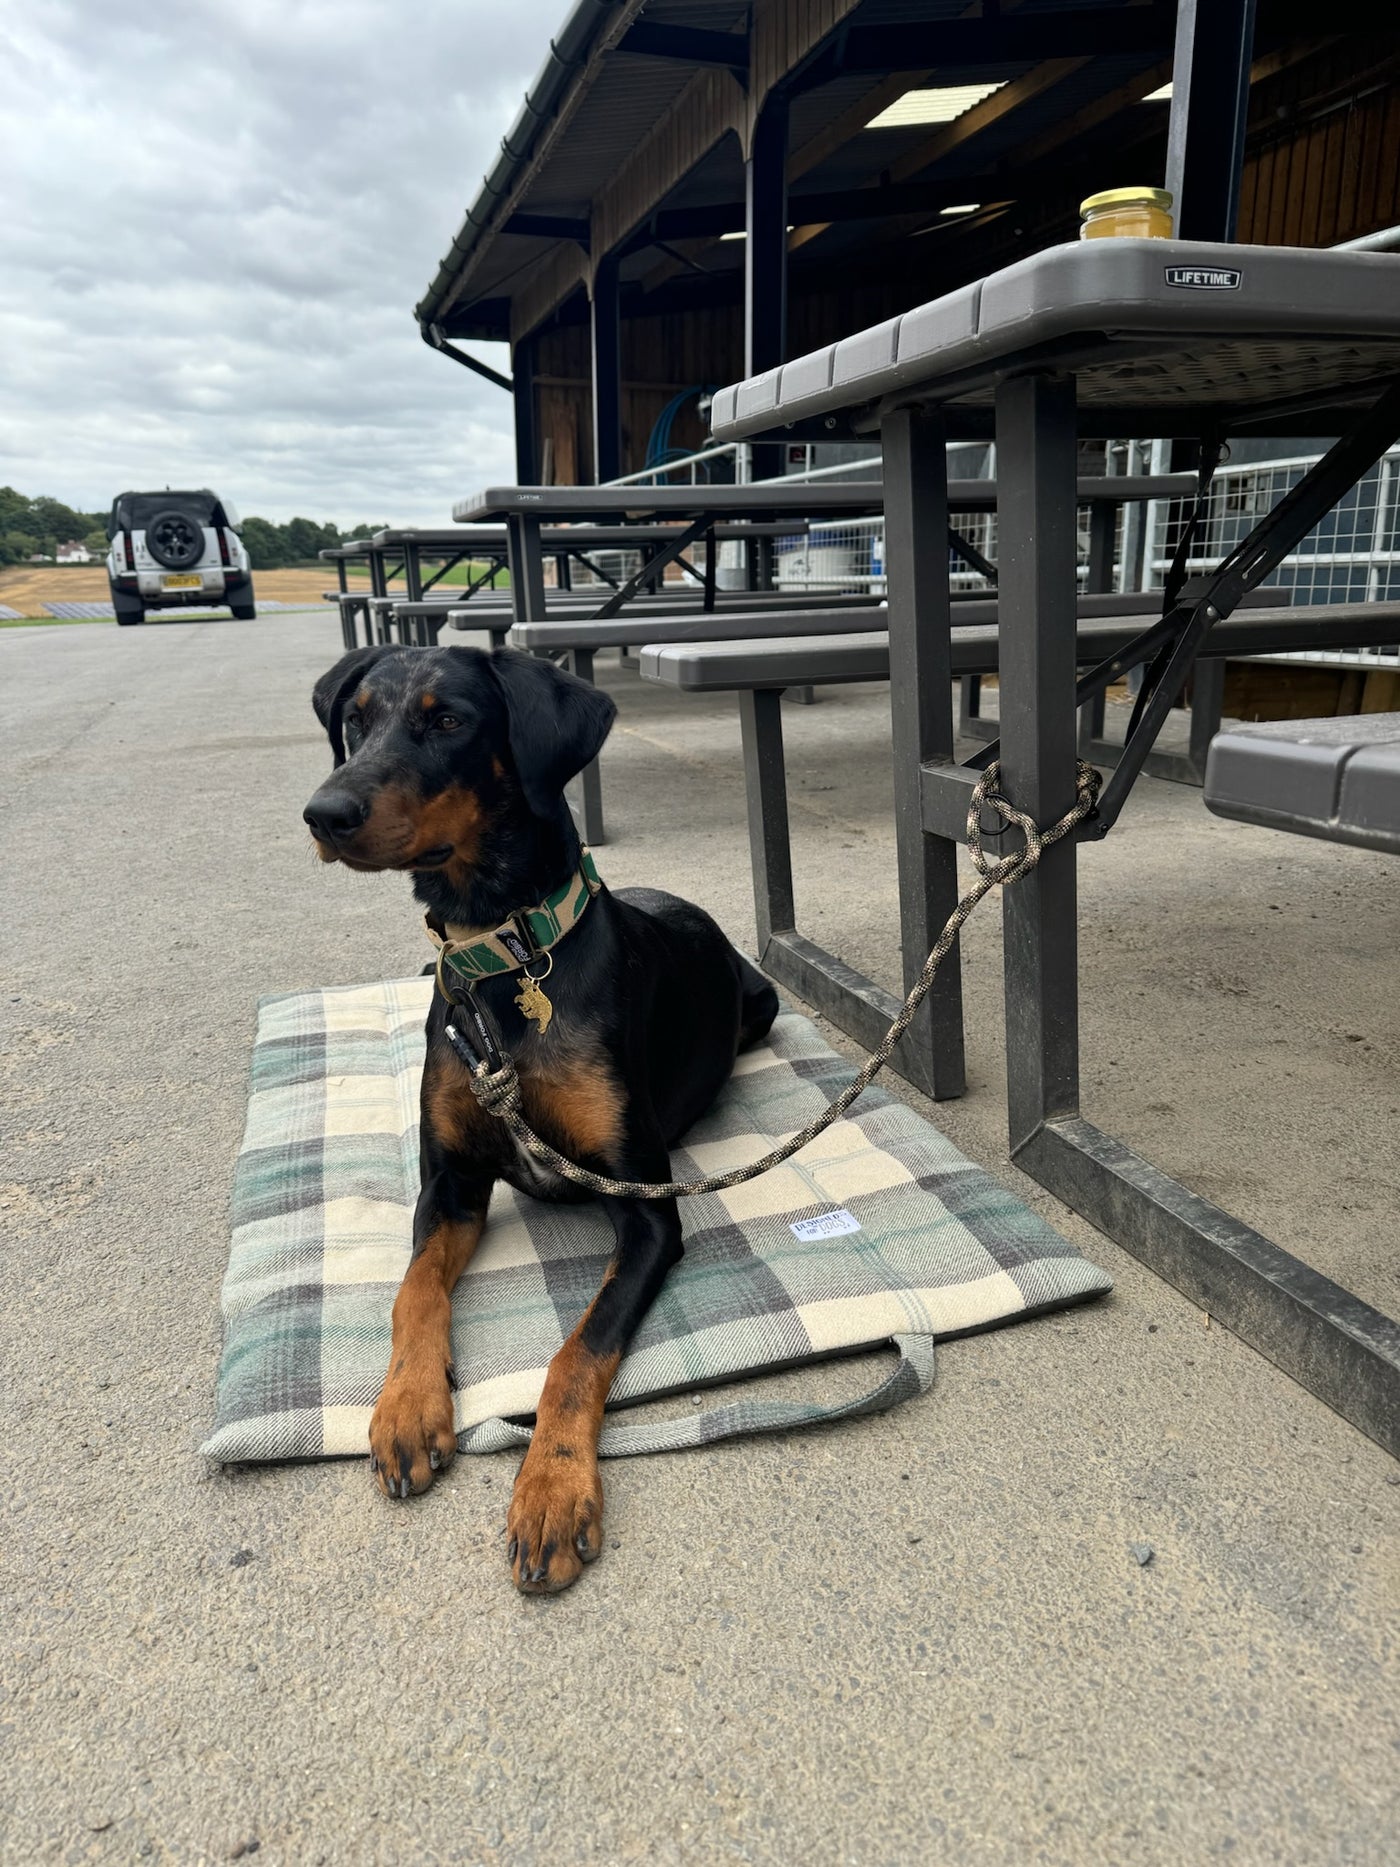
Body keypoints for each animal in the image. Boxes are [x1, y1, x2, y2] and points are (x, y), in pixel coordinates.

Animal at [302, 649, 780, 1598]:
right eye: (355, 718)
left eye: (448, 719)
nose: (324, 813)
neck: (503, 959)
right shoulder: (450, 1183)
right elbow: (414, 1288)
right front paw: (407, 1408)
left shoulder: (647, 1207)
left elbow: (576, 1352)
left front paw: (553, 1492)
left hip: (763, 1003)